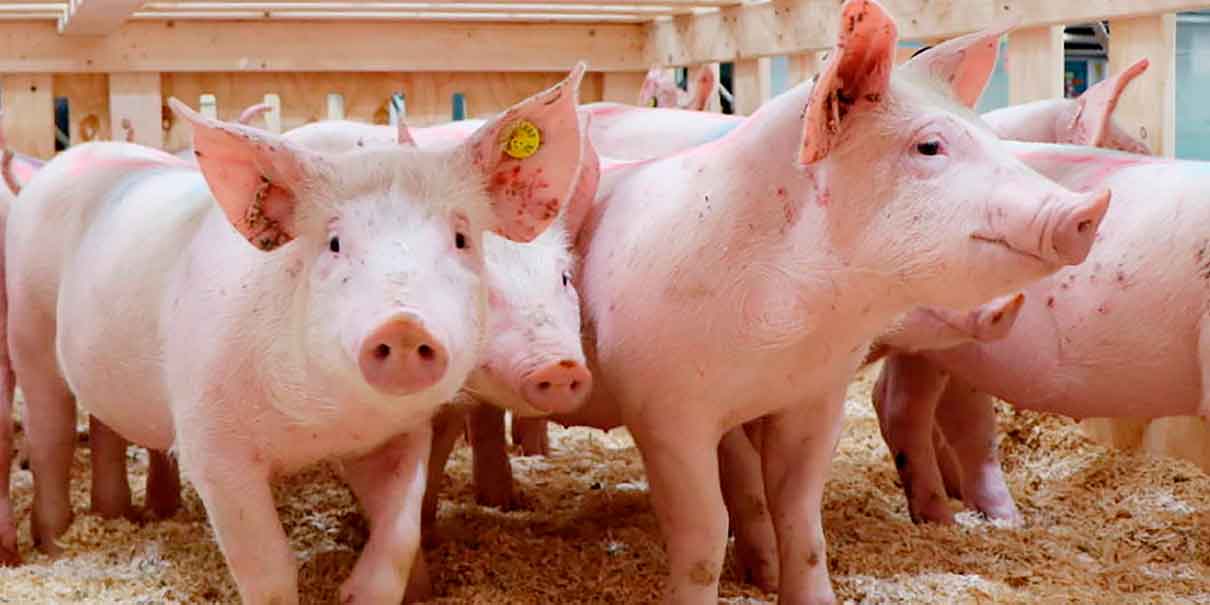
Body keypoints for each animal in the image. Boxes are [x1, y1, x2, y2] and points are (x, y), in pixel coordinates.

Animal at [9, 64, 587, 604]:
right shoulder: (212, 445)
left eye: (462, 237)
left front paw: (372, 591)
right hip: (27, 330)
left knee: (105, 426)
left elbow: (397, 537)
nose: (403, 326)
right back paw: (53, 542)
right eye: (333, 243)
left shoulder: (402, 434)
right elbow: (267, 569)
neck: (318, 425)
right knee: (49, 433)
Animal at [565, 2, 1109, 601]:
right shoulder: (663, 409)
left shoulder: (815, 399)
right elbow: (704, 531)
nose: (1087, 209)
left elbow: (800, 517)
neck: (786, 328)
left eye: (989, 134)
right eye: (929, 146)